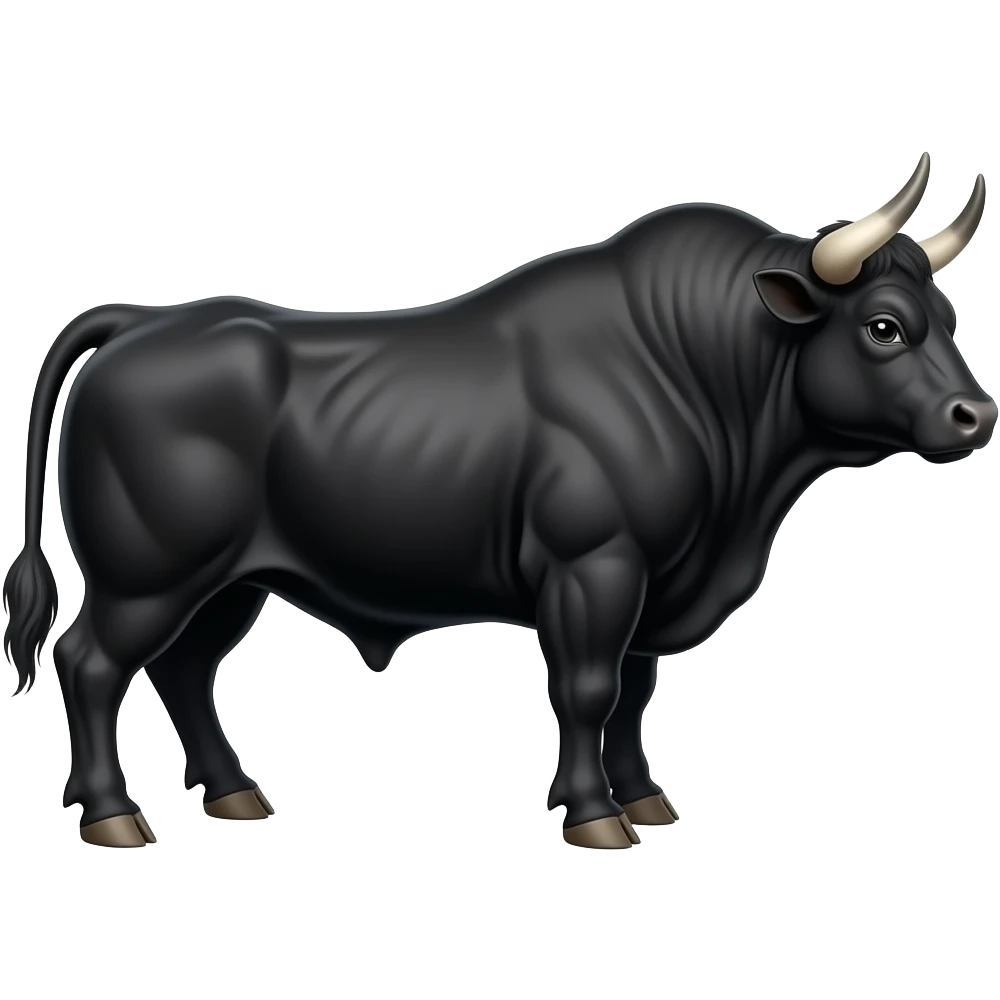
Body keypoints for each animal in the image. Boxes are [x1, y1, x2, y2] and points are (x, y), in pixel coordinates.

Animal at [3, 152, 994, 850]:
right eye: (883, 328)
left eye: (947, 319)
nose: (975, 415)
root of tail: (145, 321)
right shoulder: (595, 569)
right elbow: (589, 689)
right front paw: (594, 816)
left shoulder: (655, 584)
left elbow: (634, 695)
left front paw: (646, 800)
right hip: (147, 577)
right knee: (90, 663)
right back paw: (113, 816)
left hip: (230, 583)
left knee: (183, 672)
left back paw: (238, 796)